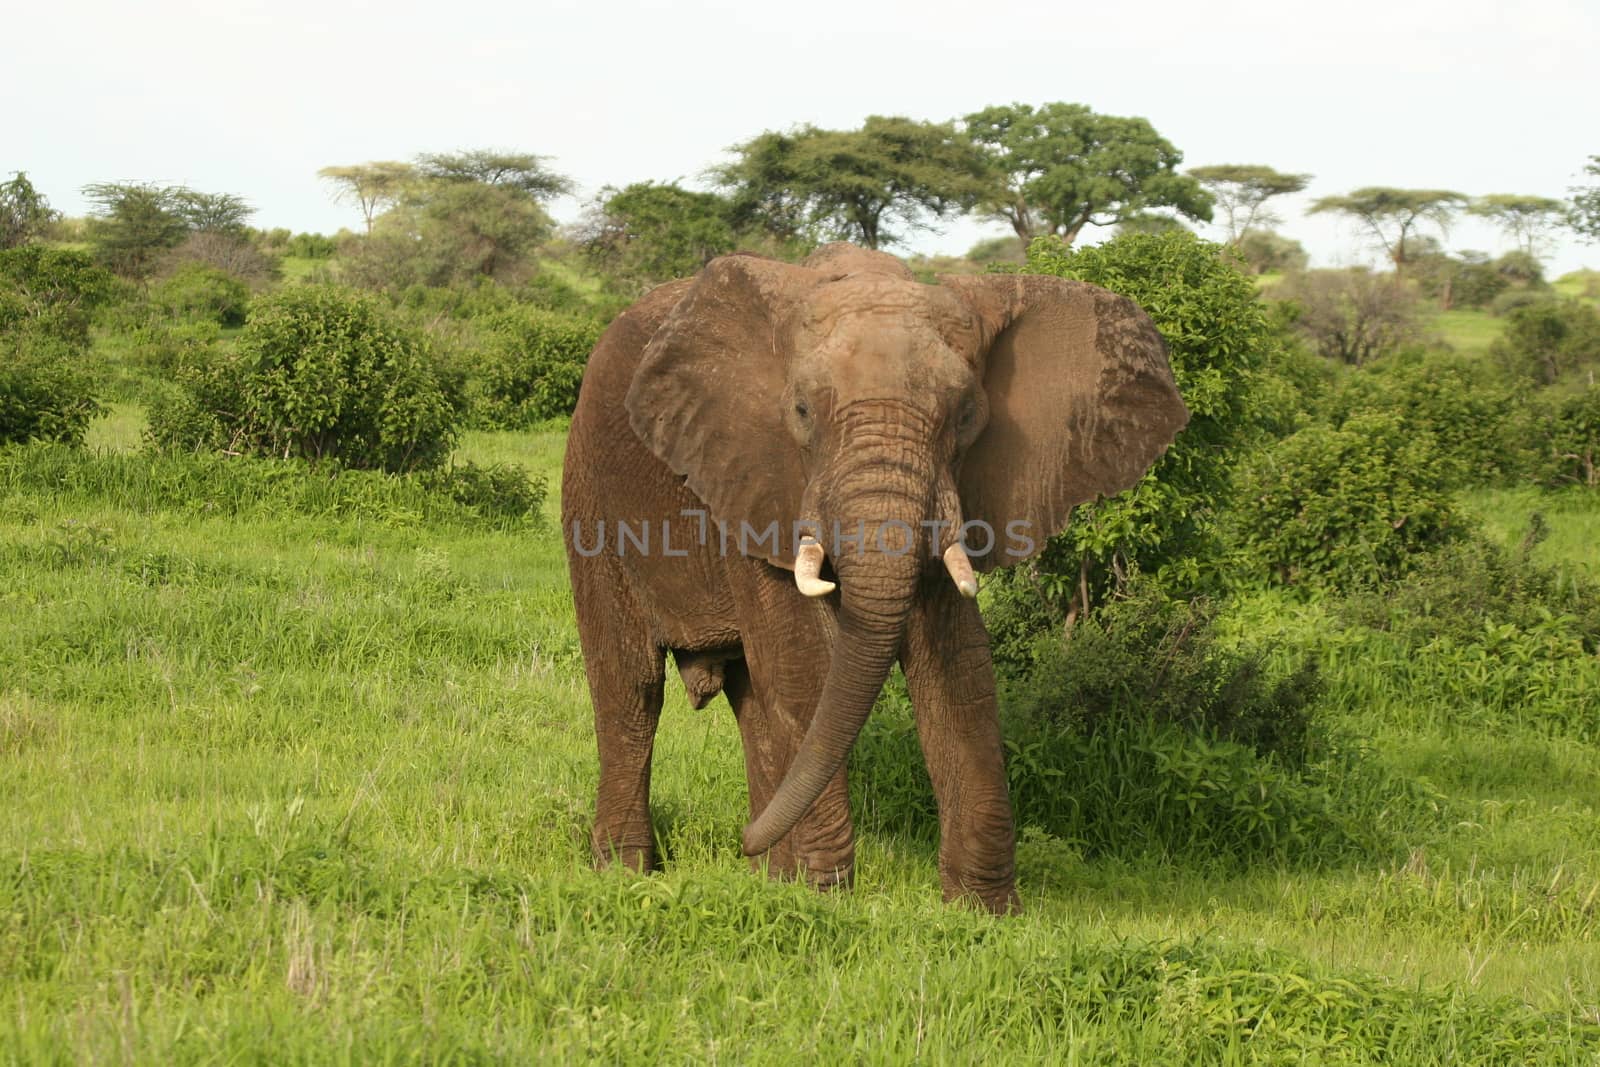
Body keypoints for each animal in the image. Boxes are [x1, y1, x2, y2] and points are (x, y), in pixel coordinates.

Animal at [563, 244, 1190, 921]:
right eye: (801, 412)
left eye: (967, 416)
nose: (739, 843)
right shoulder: (754, 481)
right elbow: (804, 661)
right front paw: (822, 898)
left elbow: (960, 668)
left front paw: (984, 915)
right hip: (590, 496)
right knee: (631, 688)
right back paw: (626, 871)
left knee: (749, 698)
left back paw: (766, 876)